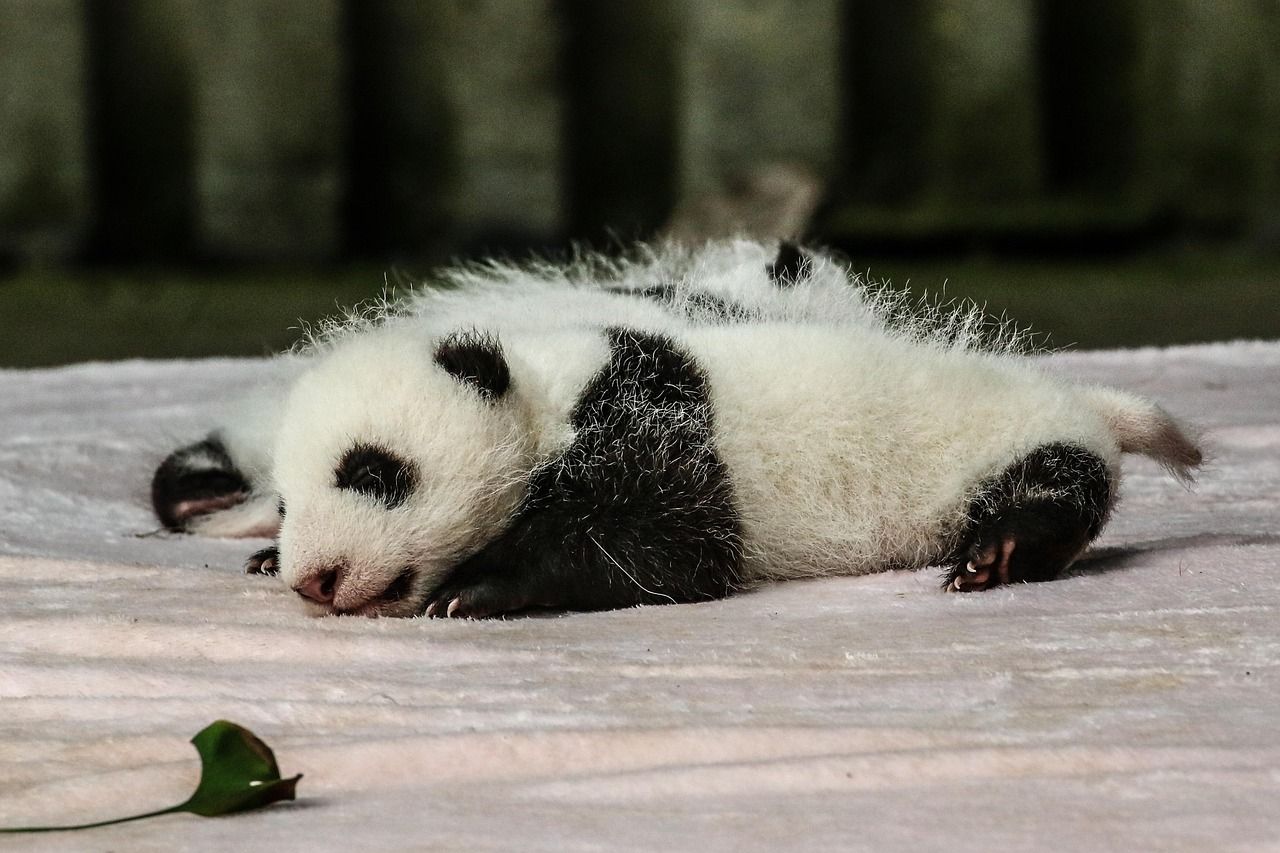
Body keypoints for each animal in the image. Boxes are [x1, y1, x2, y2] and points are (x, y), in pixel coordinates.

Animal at [241, 252, 1201, 619]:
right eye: (284, 502)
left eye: (373, 472)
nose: (315, 579)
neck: (546, 383)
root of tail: (1076, 396)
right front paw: (256, 559)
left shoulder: (650, 422)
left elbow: (666, 546)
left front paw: (475, 589)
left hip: (1007, 438)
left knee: (1054, 483)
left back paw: (997, 551)